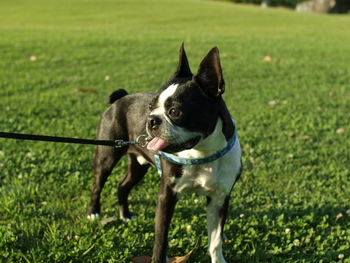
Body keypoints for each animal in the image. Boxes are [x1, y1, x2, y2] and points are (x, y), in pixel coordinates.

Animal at [86, 44, 242, 262]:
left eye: (175, 112)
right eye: (150, 106)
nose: (151, 120)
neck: (202, 153)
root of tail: (121, 97)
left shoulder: (219, 198)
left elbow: (215, 239)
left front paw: (218, 259)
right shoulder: (166, 195)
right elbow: (161, 239)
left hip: (138, 165)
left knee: (123, 185)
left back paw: (126, 215)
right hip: (106, 156)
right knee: (97, 185)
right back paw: (94, 213)